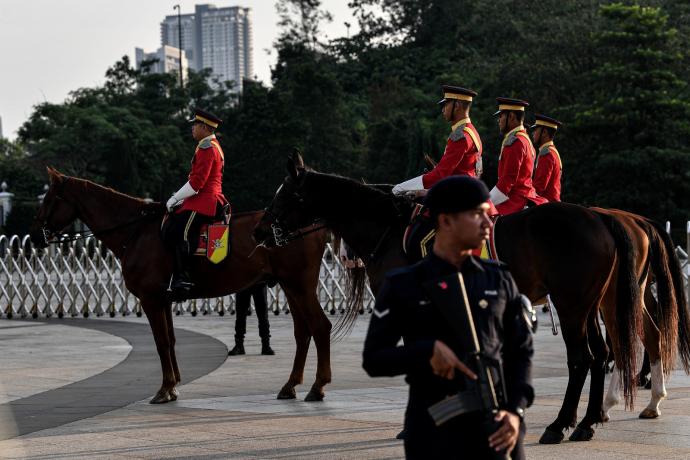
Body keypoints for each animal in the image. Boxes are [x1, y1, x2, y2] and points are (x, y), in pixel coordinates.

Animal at [28, 168, 334, 402]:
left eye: (50, 198)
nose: (35, 237)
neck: (136, 231)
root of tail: (313, 224)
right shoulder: (164, 300)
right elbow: (171, 340)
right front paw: (173, 384)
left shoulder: (150, 299)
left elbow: (161, 341)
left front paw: (164, 389)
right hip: (290, 286)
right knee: (303, 331)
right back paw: (290, 385)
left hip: (299, 285)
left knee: (320, 326)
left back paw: (317, 387)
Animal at [251, 153, 688, 444]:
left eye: (285, 195)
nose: (258, 230)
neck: (388, 226)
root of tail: (603, 217)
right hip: (592, 303)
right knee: (605, 353)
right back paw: (590, 421)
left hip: (574, 305)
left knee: (587, 357)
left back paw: (564, 424)